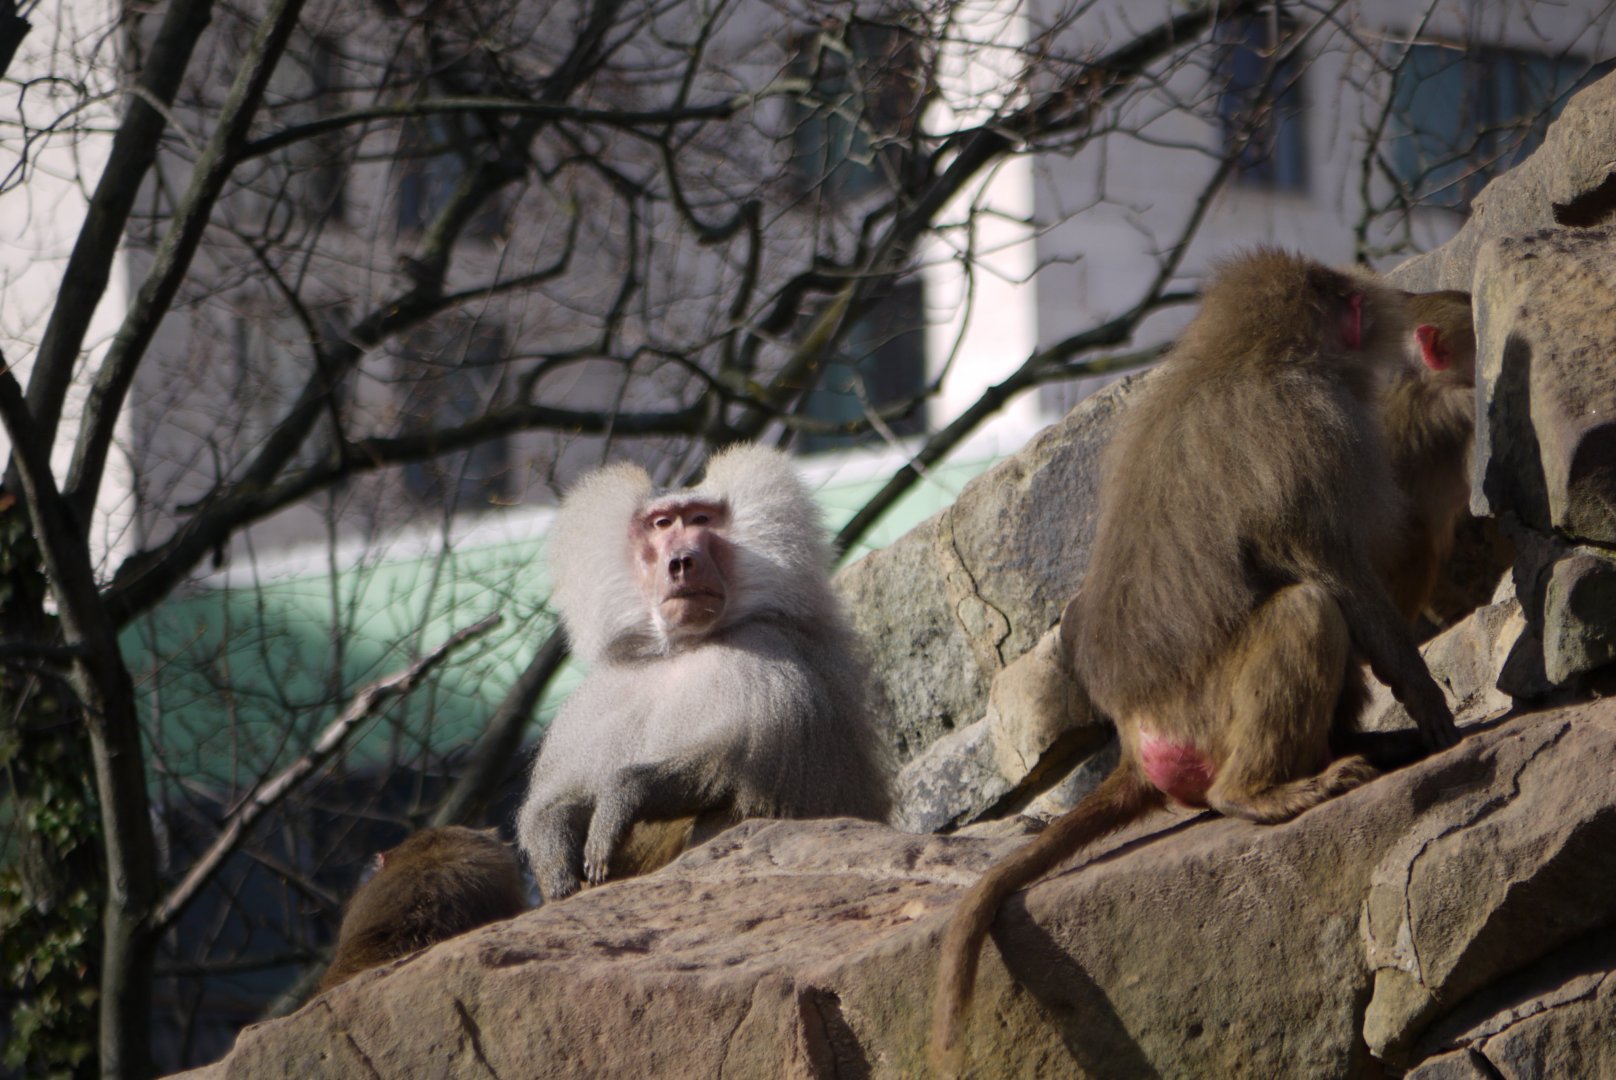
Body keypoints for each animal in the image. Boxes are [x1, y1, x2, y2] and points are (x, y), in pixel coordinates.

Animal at [515, 443, 892, 903]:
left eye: (700, 520)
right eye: (661, 524)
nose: (682, 562)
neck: (683, 649)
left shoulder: (772, 663)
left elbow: (733, 766)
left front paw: (622, 795)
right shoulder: (607, 692)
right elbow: (562, 800)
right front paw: (554, 852)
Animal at [929, 249, 1459, 1066]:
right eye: (1348, 302)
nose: (1386, 304)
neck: (1245, 354)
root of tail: (1137, 738)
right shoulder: (1308, 431)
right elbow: (1334, 570)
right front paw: (1427, 702)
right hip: (1207, 716)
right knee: (1308, 611)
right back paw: (1263, 793)